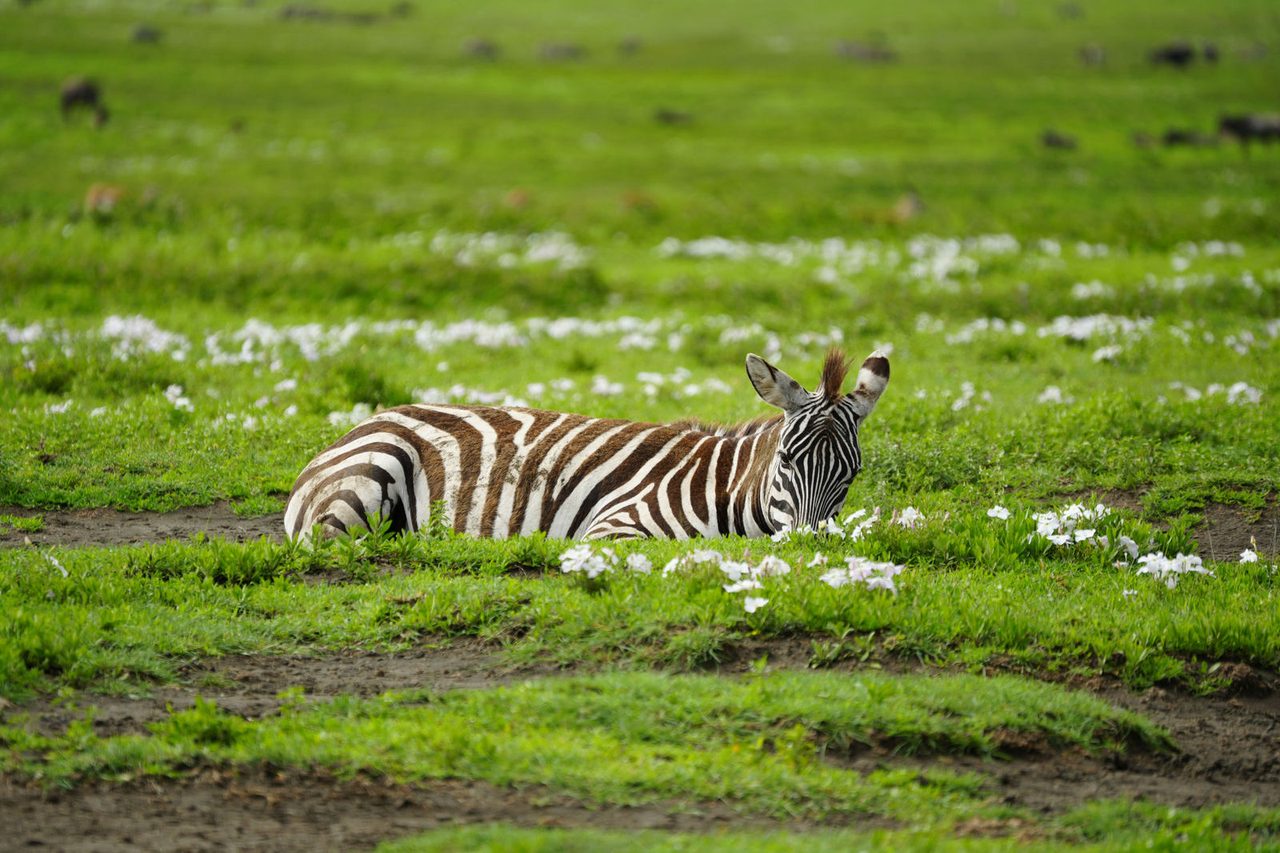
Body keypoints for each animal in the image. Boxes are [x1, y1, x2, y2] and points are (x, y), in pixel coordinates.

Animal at [284, 347, 889, 541]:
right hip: (366, 481)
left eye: (850, 476)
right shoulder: (616, 527)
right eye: (786, 460)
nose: (808, 547)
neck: (723, 489)